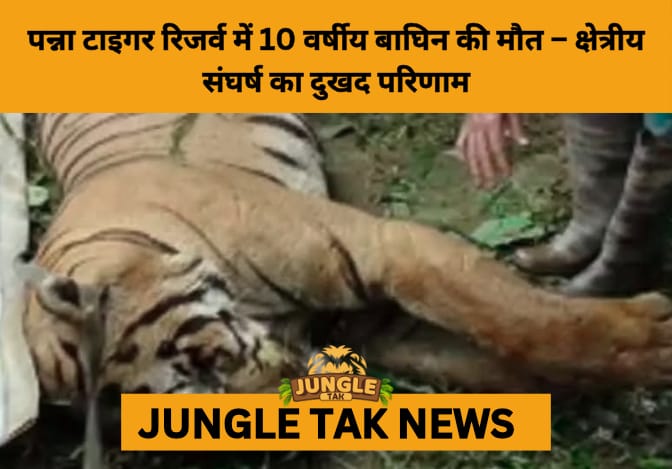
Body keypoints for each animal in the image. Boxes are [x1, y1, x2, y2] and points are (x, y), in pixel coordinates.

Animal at [18, 113, 672, 416]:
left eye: (202, 364)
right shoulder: (372, 323)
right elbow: (498, 362)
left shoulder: (384, 247)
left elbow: (514, 316)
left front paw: (653, 339)